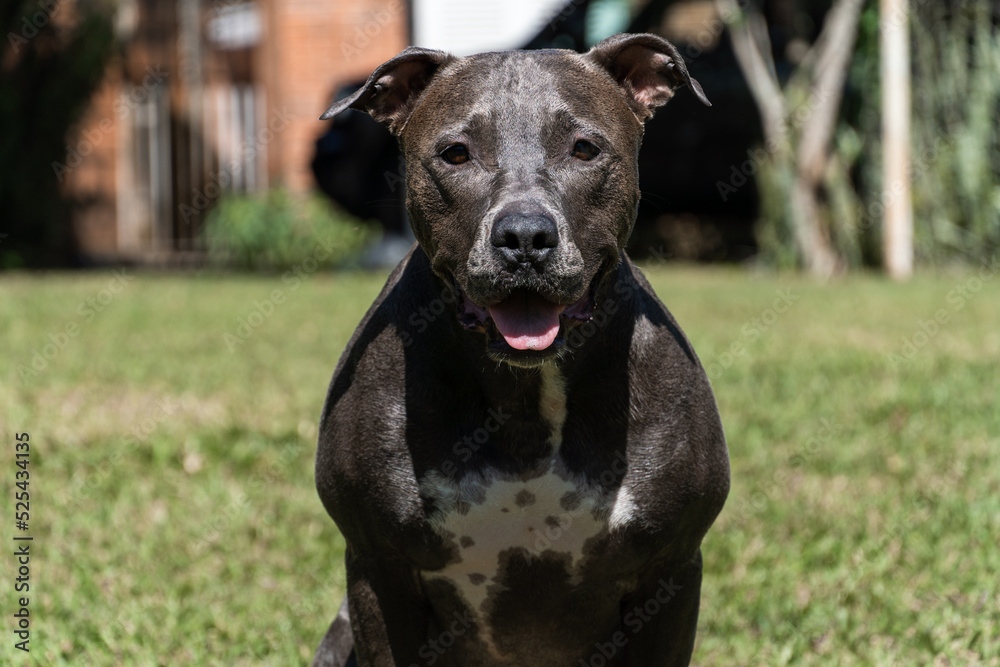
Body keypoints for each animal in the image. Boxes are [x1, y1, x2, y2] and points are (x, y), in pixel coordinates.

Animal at [316, 32, 732, 667]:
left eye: (584, 149)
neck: (527, 394)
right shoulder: (377, 570)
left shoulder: (672, 570)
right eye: (455, 154)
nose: (525, 236)